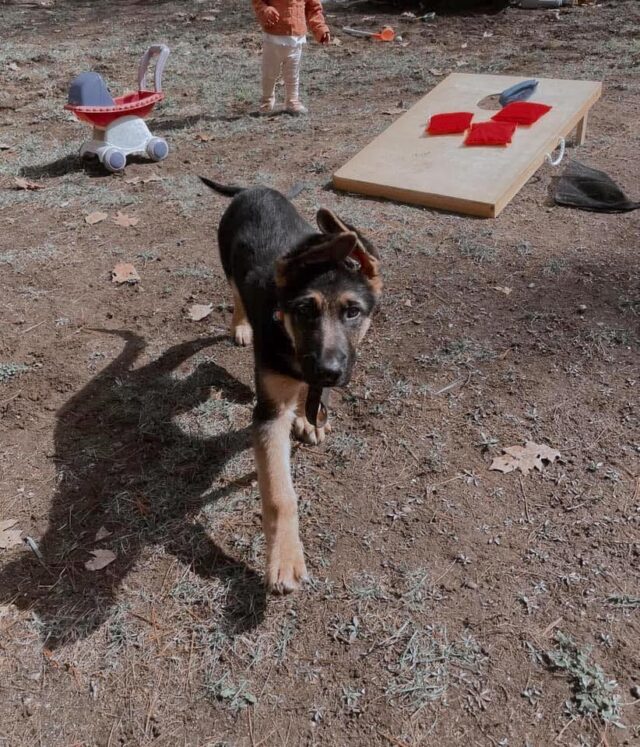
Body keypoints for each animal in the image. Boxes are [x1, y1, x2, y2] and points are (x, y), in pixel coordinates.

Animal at [200, 178, 380, 592]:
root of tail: (253, 188)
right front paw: (284, 558)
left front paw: (307, 418)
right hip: (228, 265)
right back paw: (241, 325)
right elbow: (281, 494)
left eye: (352, 312)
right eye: (303, 311)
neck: (288, 336)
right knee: (235, 293)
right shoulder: (268, 415)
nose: (329, 371)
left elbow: (306, 393)